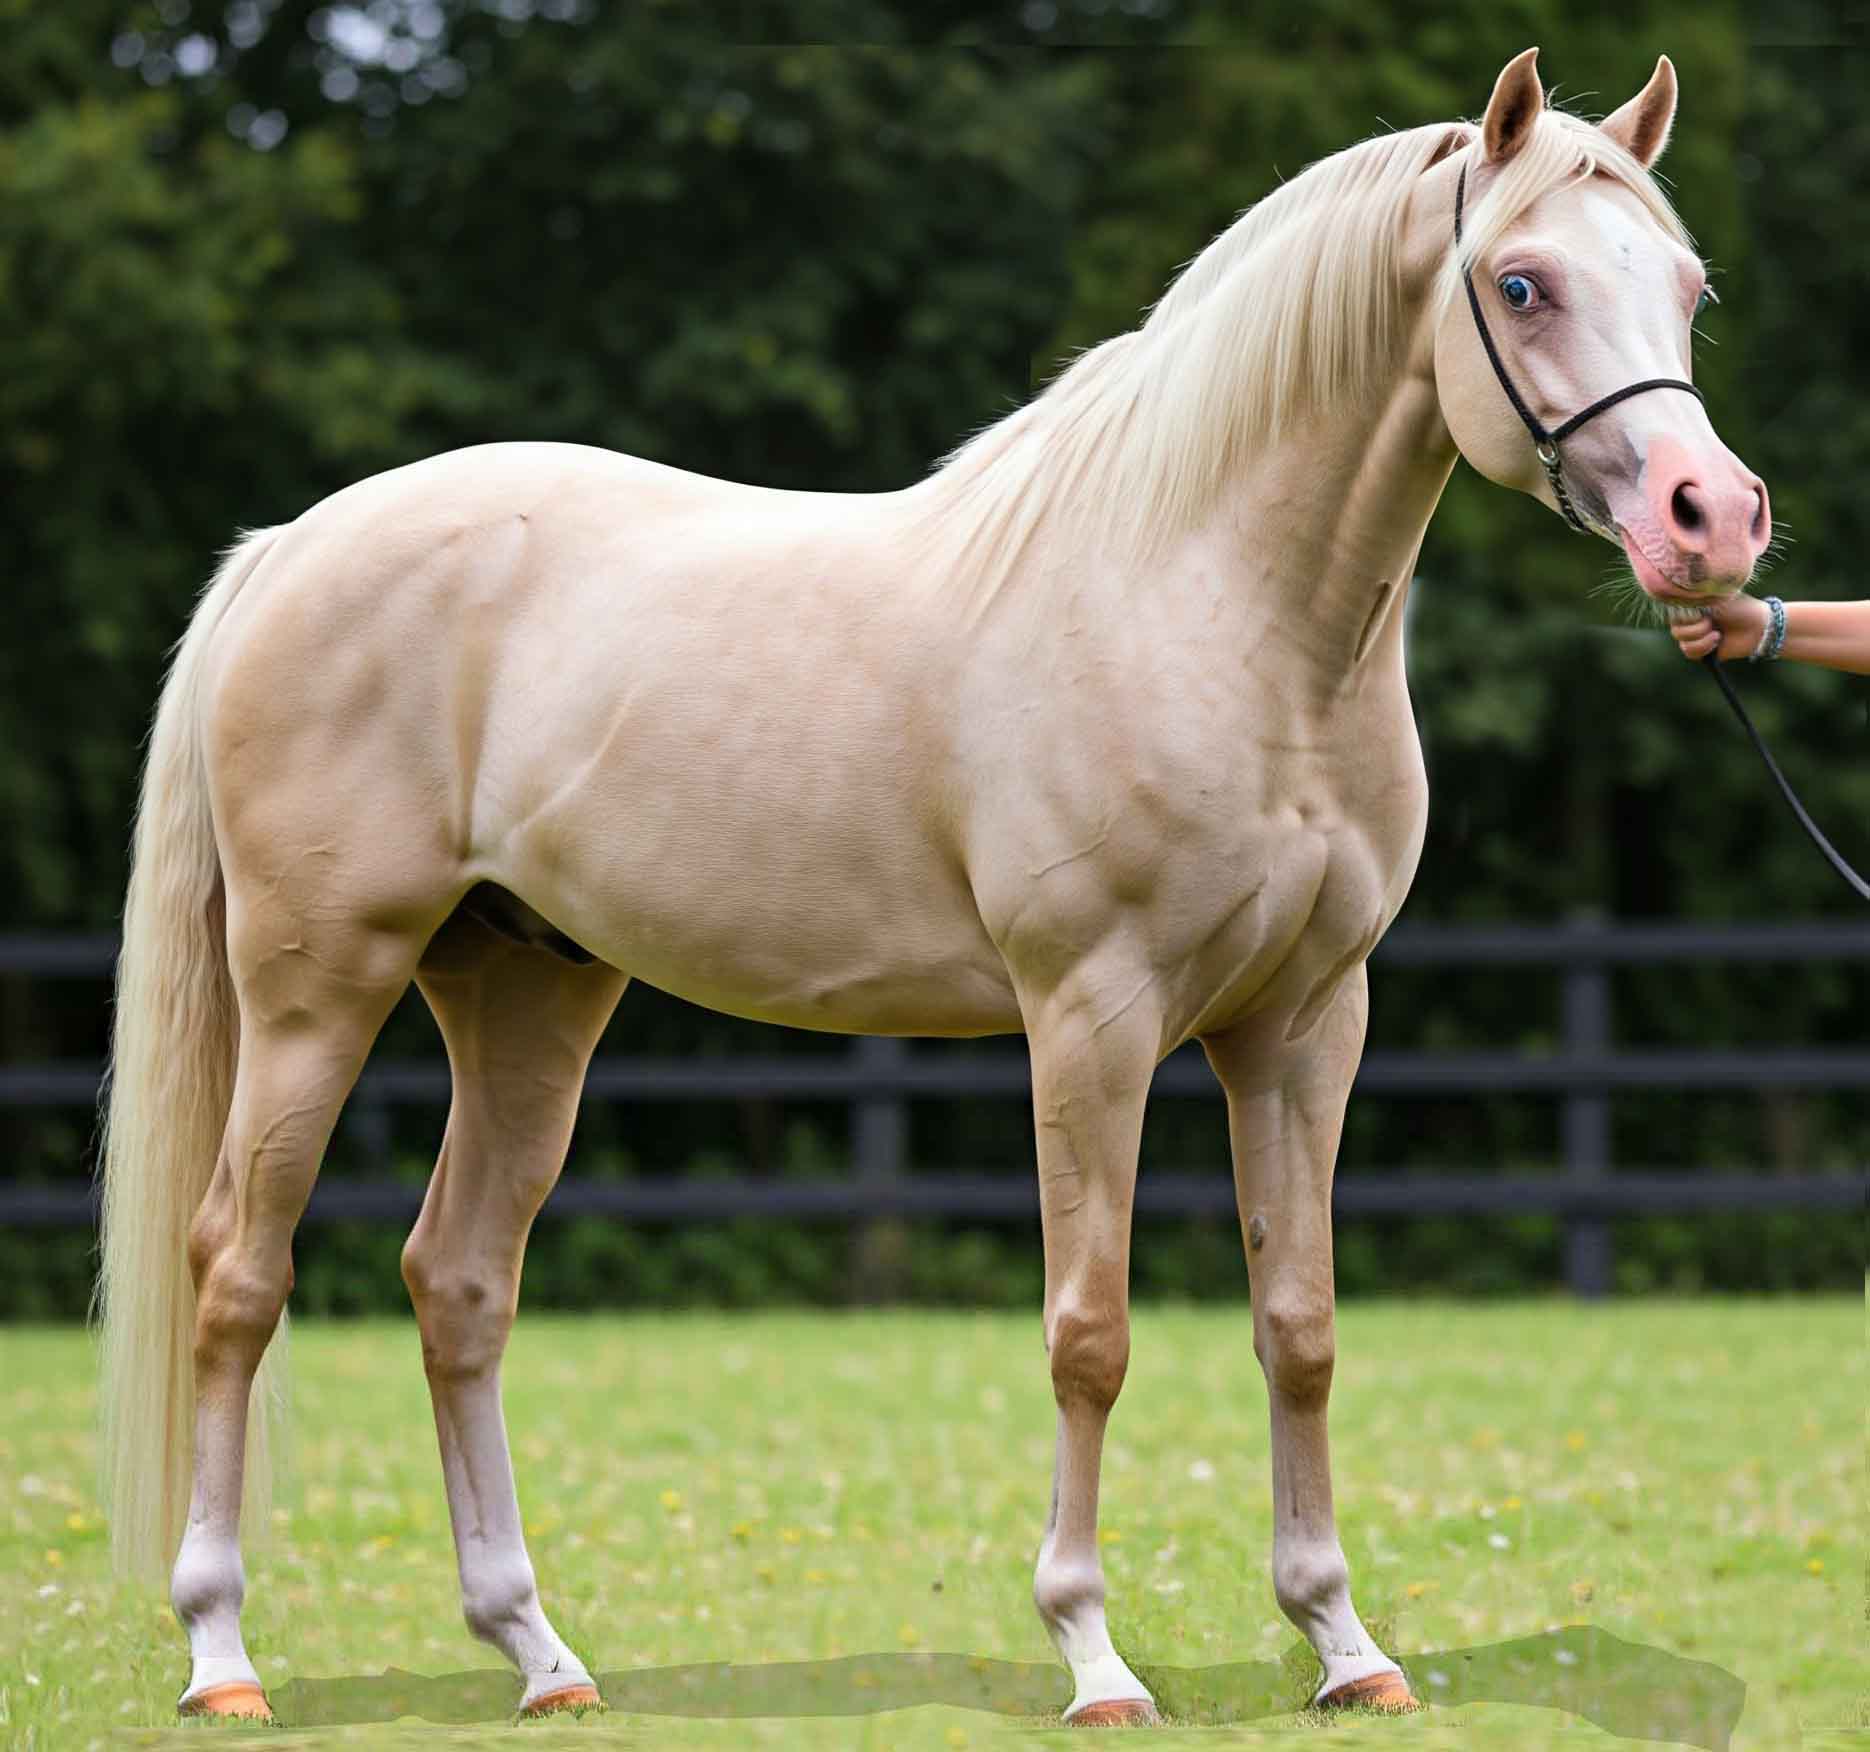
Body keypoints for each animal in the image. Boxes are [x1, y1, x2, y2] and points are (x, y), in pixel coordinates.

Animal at [98, 51, 1765, 1720]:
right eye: (1521, 281)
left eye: (1689, 286)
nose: (1711, 519)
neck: (1208, 606)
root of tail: (289, 547)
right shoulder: (1090, 1017)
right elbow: (1088, 1334)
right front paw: (1092, 1654)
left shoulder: (1302, 1026)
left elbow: (1297, 1327)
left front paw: (1343, 1645)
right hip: (319, 988)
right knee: (237, 1273)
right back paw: (220, 1651)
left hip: (524, 993)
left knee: (457, 1282)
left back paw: (538, 1654)